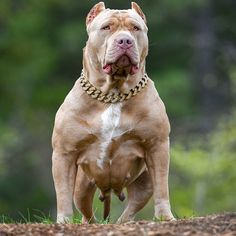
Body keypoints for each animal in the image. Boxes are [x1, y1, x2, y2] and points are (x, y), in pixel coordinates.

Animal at [51, 1, 174, 223]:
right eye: (106, 27)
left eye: (135, 28)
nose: (125, 40)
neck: (113, 94)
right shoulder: (64, 154)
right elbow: (62, 192)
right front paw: (63, 221)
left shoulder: (157, 147)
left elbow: (162, 186)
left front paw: (165, 218)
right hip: (82, 187)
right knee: (87, 212)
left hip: (144, 184)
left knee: (129, 210)